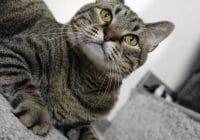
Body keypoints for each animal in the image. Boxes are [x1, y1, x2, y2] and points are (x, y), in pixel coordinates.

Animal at [0, 0, 173, 139]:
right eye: (106, 15)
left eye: (131, 39)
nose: (108, 35)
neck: (85, 77)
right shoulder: (13, 49)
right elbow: (26, 83)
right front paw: (38, 112)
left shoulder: (79, 124)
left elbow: (90, 132)